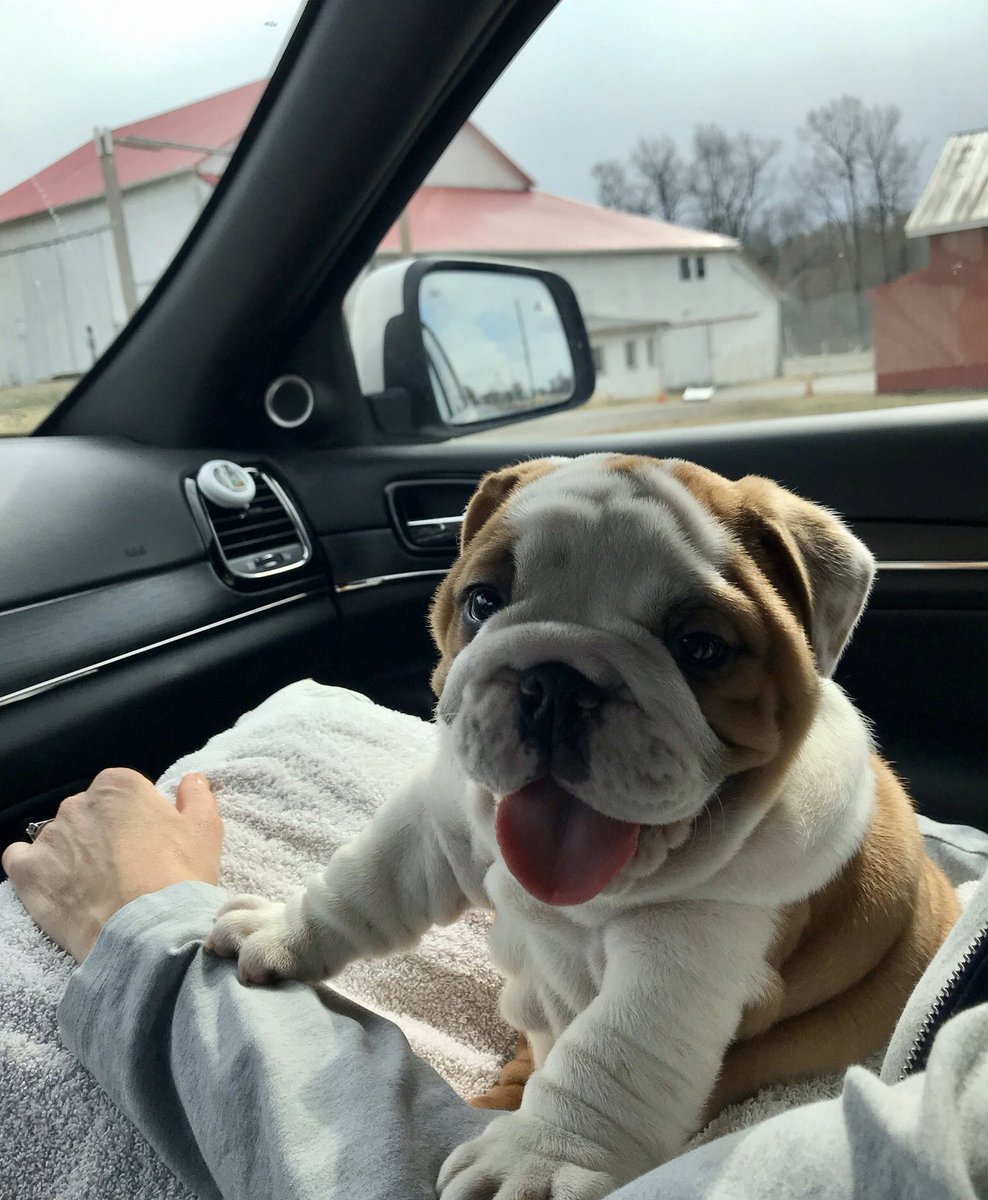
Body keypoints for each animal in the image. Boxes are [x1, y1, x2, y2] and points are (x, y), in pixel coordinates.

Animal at [208, 451, 960, 1200]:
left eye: (701, 648)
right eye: (482, 603)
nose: (556, 680)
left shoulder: (693, 949)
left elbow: (612, 1052)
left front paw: (534, 1160)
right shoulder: (441, 822)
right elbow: (368, 878)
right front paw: (282, 932)